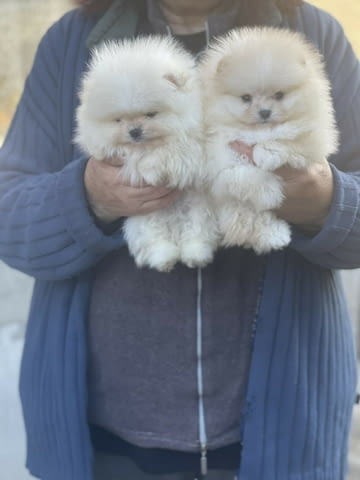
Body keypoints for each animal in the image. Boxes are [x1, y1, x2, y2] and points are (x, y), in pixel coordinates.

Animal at [74, 35, 218, 270]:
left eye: (151, 114)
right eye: (118, 120)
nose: (134, 131)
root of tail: (174, 226)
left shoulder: (197, 144)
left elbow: (178, 151)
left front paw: (155, 166)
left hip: (199, 210)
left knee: (196, 233)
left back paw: (195, 254)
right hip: (144, 220)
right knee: (155, 239)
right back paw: (165, 258)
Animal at [200, 26, 338, 253]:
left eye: (279, 95)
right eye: (246, 98)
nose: (264, 112)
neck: (259, 132)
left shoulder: (313, 140)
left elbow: (291, 141)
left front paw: (266, 153)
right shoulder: (220, 160)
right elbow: (242, 175)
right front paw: (270, 191)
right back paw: (272, 234)